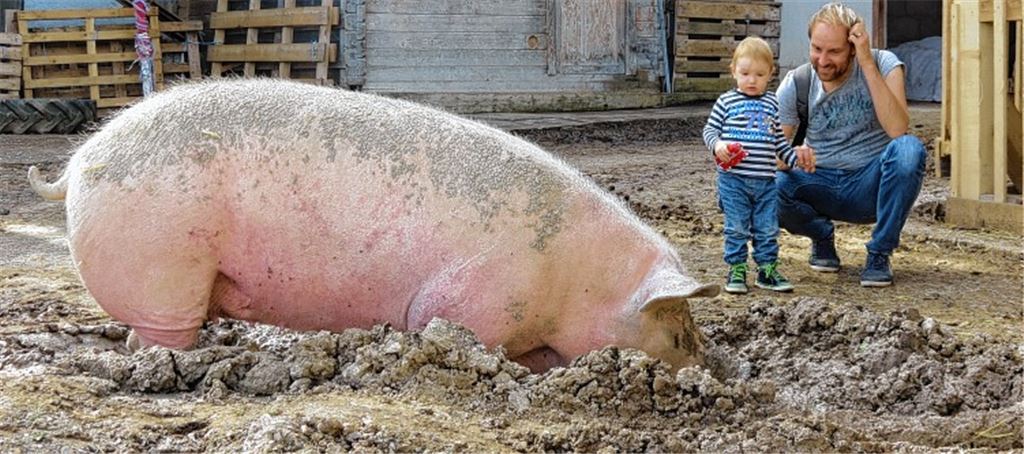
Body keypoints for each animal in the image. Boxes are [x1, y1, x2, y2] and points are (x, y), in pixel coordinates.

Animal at [28, 79, 718, 372]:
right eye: (674, 329)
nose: (707, 368)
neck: (579, 279)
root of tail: (80, 164)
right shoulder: (478, 295)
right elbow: (450, 328)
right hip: (164, 265)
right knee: (156, 338)